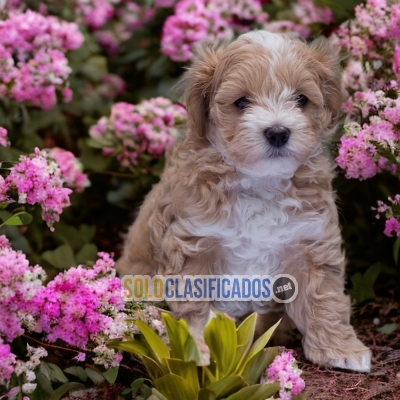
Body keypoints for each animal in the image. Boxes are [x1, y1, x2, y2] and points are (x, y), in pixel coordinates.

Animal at [118, 30, 372, 372]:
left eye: (301, 100)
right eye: (241, 102)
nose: (277, 132)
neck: (260, 181)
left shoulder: (310, 241)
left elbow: (324, 297)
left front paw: (340, 349)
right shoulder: (194, 243)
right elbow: (195, 307)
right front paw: (198, 350)